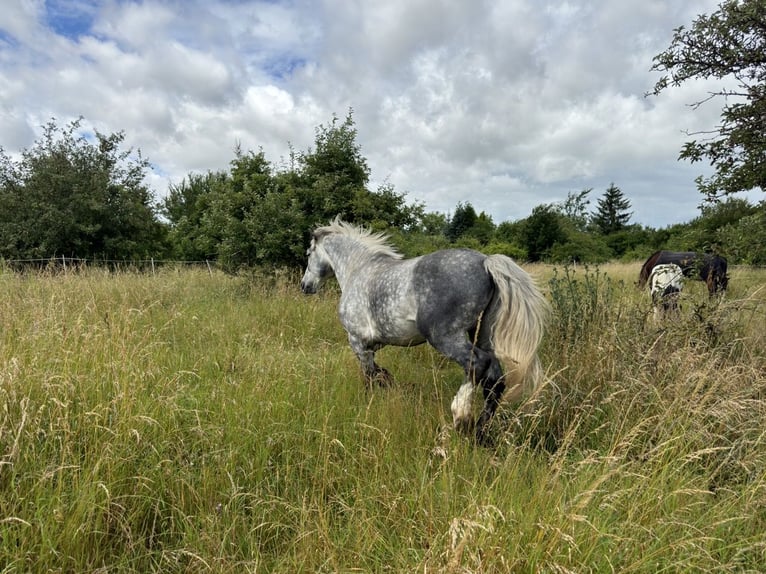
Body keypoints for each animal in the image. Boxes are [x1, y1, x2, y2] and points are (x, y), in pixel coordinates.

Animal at [302, 218, 552, 448]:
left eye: (308, 253)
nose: (305, 286)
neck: (358, 269)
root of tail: (486, 261)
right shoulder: (372, 345)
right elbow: (380, 373)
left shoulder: (357, 342)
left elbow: (369, 376)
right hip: (481, 335)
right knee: (494, 377)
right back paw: (481, 435)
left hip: (445, 337)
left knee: (477, 364)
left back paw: (460, 416)